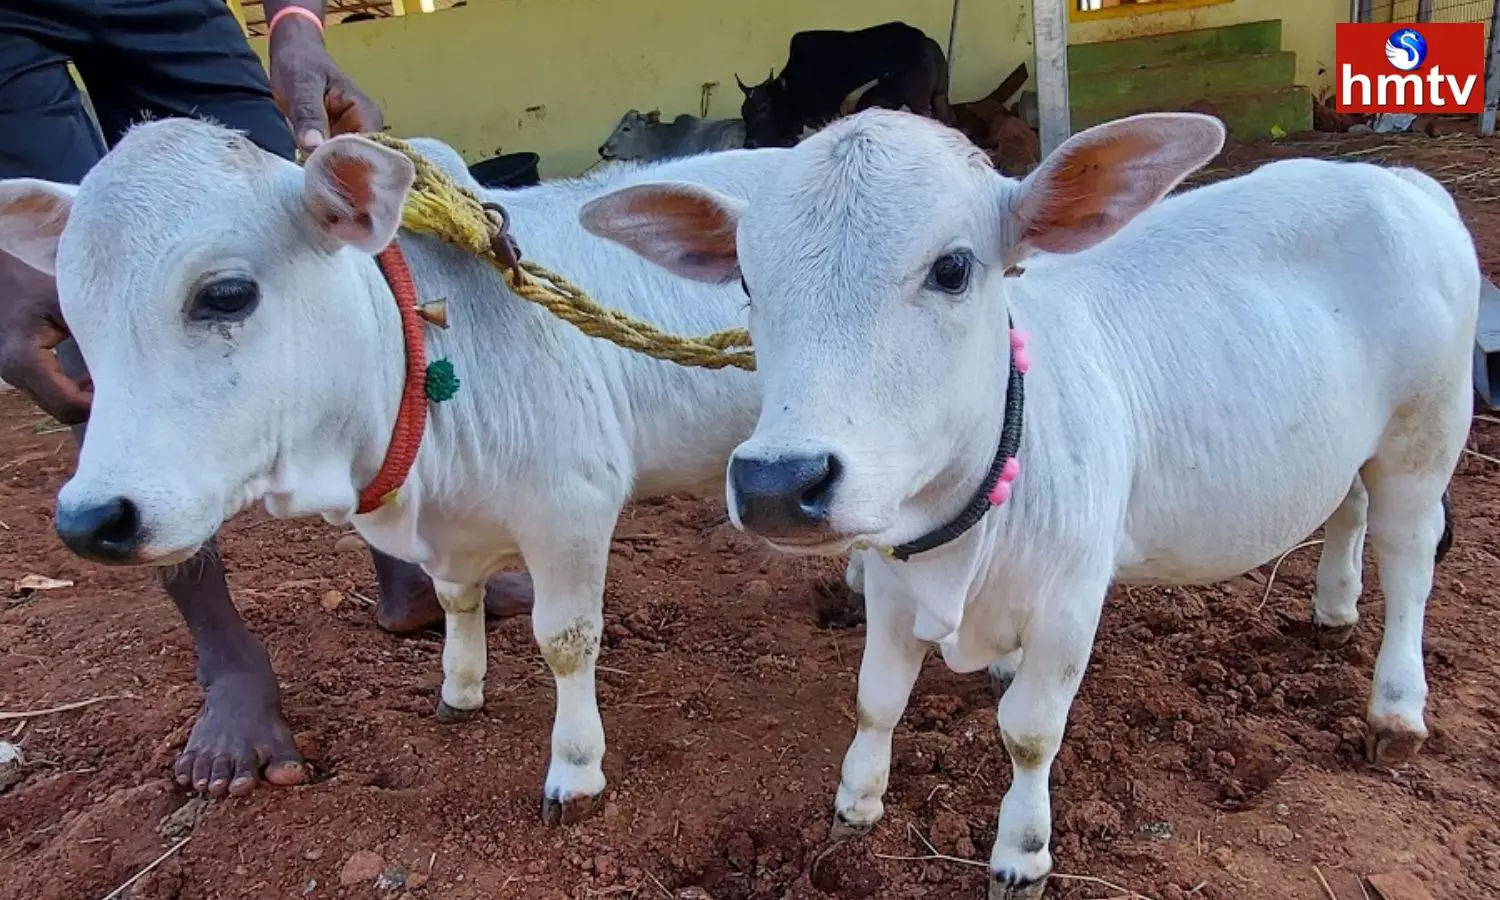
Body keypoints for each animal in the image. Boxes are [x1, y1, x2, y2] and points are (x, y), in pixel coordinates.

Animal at [0, 123, 864, 828]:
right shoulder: (454, 532)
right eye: (73, 315)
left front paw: (575, 769)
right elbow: (455, 600)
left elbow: (566, 641)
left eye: (226, 294)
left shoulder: (572, 506)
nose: (92, 519)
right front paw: (461, 689)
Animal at [735, 21, 948, 148]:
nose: (749, 143)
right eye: (743, 112)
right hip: (939, 97)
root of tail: (926, 41)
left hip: (918, 102)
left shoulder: (823, 117)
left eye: (763, 108)